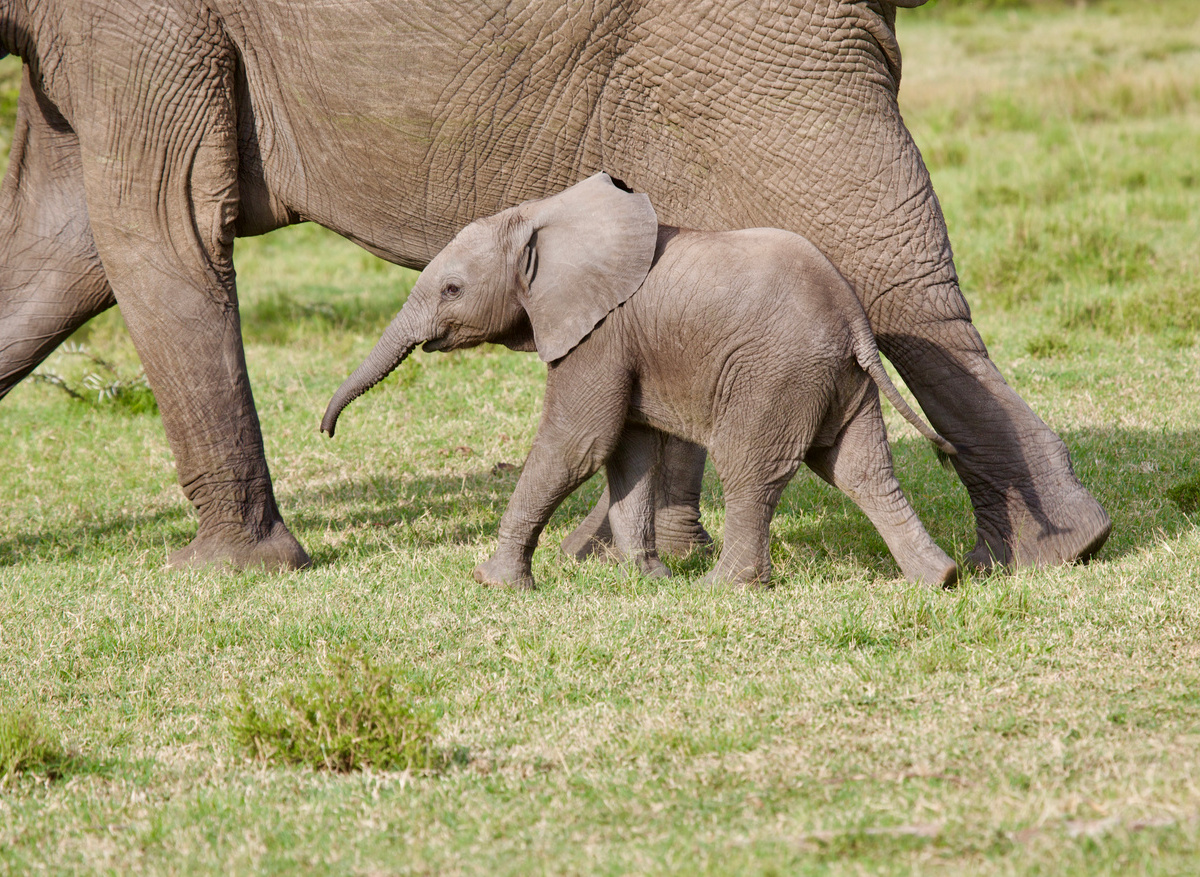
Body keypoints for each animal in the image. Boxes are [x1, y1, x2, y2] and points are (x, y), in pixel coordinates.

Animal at [321, 173, 961, 588]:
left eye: (452, 289)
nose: (326, 432)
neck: (539, 219)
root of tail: (853, 318)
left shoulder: (599, 334)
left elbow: (578, 442)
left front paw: (492, 582)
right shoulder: (621, 345)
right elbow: (628, 449)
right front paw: (645, 579)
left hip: (776, 373)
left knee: (748, 468)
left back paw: (721, 588)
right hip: (837, 378)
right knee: (861, 469)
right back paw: (939, 580)